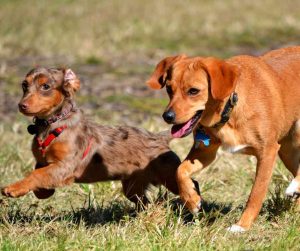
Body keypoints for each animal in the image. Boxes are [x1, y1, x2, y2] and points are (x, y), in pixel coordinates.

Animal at [1, 67, 180, 207]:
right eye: (24, 85)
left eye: (45, 86)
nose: (21, 105)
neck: (52, 123)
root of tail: (160, 137)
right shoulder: (44, 162)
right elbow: (40, 175)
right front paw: (44, 192)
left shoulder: (65, 165)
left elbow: (37, 174)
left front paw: (14, 188)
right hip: (132, 187)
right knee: (145, 202)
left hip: (170, 176)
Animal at [146, 46, 300, 231]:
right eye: (169, 89)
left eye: (193, 91)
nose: (167, 116)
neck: (231, 107)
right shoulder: (205, 151)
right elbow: (180, 170)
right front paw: (191, 199)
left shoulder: (268, 152)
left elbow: (256, 194)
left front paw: (242, 226)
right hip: (287, 150)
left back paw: (294, 187)